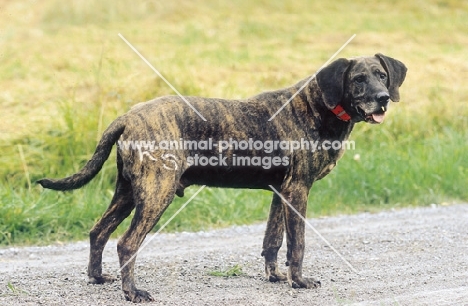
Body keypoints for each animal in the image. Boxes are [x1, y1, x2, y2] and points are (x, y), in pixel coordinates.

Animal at [39, 53, 406, 302]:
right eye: (358, 79)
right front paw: (299, 282)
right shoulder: (298, 190)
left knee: (98, 231)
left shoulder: (281, 192)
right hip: (157, 192)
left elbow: (272, 241)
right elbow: (297, 244)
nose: (383, 99)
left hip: (128, 192)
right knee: (126, 243)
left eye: (381, 75)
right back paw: (133, 292)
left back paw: (98, 278)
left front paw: (275, 276)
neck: (320, 106)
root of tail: (128, 117)